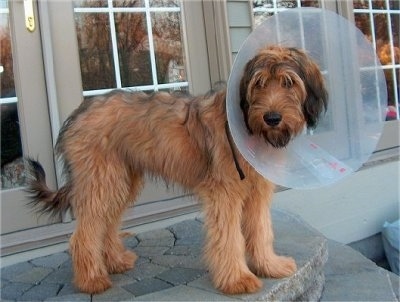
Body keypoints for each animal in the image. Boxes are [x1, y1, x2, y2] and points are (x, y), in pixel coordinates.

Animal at [27, 46, 328, 294]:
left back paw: (115, 261)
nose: (272, 118)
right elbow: (229, 238)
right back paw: (91, 280)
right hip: (101, 179)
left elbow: (261, 230)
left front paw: (269, 266)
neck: (245, 125)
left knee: (106, 222)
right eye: (259, 83)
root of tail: (77, 114)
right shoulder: (224, 193)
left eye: (289, 82)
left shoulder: (257, 193)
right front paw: (237, 279)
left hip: (120, 181)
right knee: (84, 233)